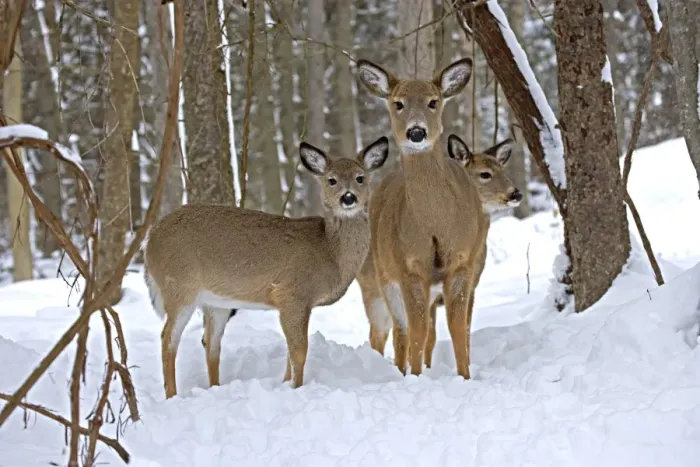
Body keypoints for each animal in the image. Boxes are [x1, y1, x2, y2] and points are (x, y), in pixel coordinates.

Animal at [143, 136, 389, 398]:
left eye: (360, 177)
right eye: (331, 180)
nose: (348, 198)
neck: (331, 253)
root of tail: (150, 239)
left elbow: (291, 353)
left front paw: (285, 385)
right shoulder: (292, 294)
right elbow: (299, 351)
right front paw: (296, 388)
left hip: (216, 302)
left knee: (211, 343)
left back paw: (215, 388)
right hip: (179, 286)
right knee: (168, 338)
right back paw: (172, 395)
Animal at [355, 57, 523, 379]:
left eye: (433, 101)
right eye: (398, 103)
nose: (416, 132)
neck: (434, 223)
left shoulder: (462, 265)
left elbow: (458, 328)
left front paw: (465, 376)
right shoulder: (409, 267)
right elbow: (418, 331)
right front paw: (417, 377)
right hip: (382, 277)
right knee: (398, 331)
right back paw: (401, 371)